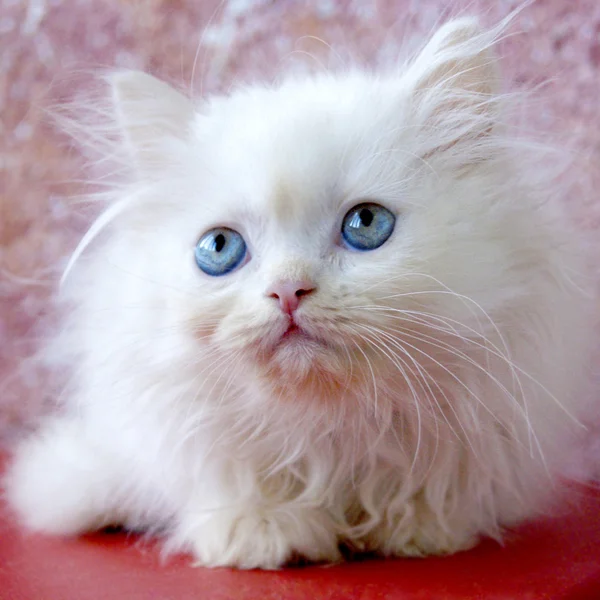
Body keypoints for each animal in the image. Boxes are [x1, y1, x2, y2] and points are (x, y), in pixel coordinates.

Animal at [3, 17, 596, 568]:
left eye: (365, 224)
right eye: (220, 248)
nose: (288, 290)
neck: (330, 434)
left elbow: (424, 488)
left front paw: (415, 533)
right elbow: (242, 487)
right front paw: (264, 538)